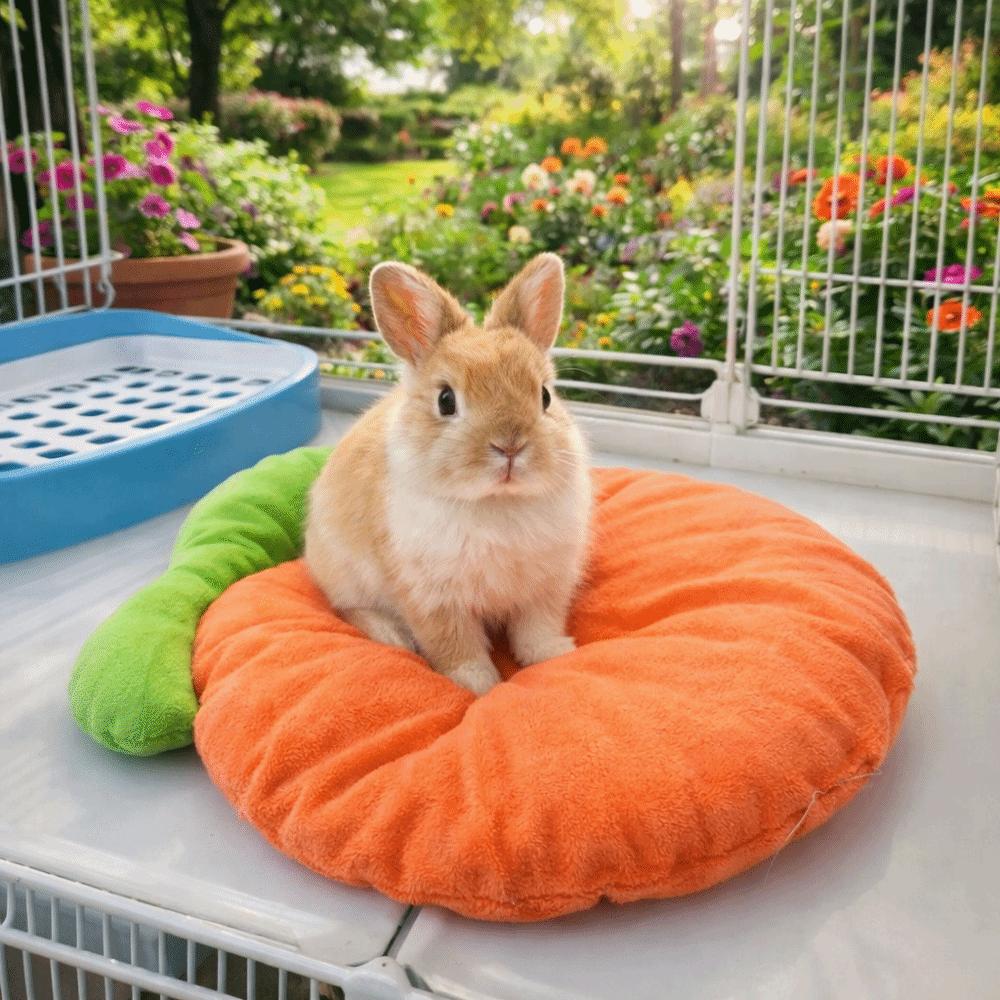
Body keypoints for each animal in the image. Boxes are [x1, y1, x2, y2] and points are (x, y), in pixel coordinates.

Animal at [304, 252, 592, 696]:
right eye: (445, 401)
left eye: (545, 396)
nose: (509, 446)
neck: (495, 502)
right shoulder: (432, 600)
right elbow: (456, 647)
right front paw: (479, 687)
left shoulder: (544, 591)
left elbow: (535, 632)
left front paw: (555, 656)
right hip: (347, 577)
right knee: (350, 609)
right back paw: (392, 636)